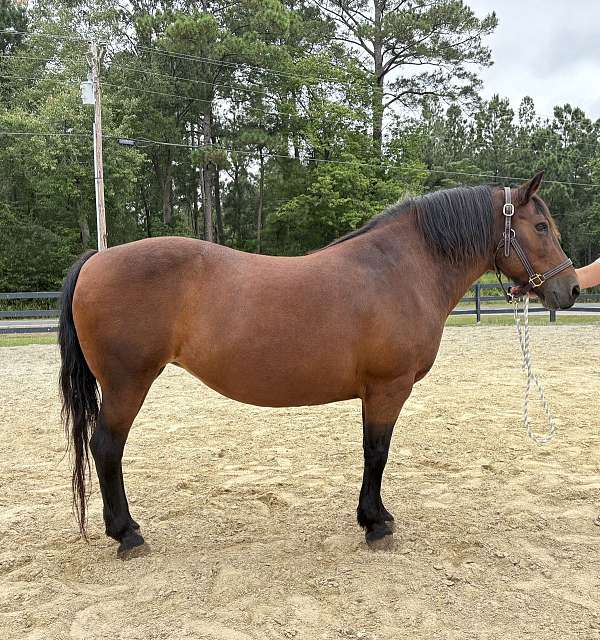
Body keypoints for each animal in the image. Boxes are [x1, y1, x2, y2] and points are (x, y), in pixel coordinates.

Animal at [59, 171, 579, 557]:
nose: (571, 289)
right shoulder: (388, 388)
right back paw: (128, 534)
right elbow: (377, 452)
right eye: (540, 227)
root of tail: (95, 261)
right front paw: (375, 524)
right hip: (128, 384)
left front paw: (375, 517)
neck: (400, 270)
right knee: (106, 448)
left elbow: (373, 452)